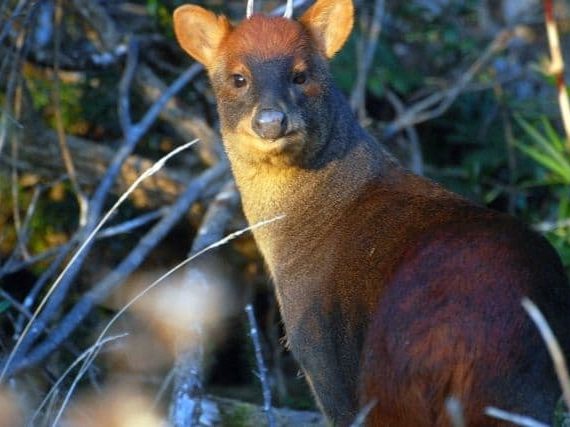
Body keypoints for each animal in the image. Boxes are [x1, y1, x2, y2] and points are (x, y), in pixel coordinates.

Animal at [173, 0, 568, 424]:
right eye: (238, 78)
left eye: (300, 74)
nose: (270, 120)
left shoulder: (320, 352)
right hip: (524, 391)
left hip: (387, 383)